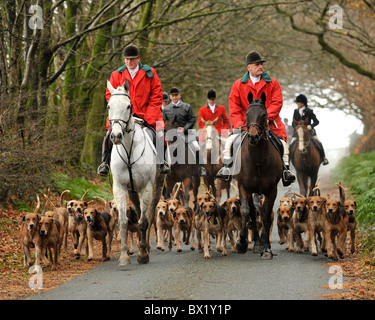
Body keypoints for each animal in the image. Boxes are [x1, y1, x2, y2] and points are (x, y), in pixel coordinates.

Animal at [106, 80, 164, 268]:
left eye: (128, 106)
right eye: (109, 106)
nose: (116, 136)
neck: (129, 151)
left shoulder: (146, 187)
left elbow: (145, 220)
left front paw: (143, 254)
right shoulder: (120, 188)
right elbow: (124, 222)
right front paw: (124, 256)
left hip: (156, 186)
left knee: (149, 214)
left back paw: (145, 247)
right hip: (132, 191)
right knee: (139, 212)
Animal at [236, 93, 284, 260]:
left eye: (264, 115)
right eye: (246, 114)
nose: (253, 137)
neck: (256, 159)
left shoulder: (271, 190)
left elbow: (266, 216)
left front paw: (267, 249)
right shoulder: (244, 187)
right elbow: (245, 211)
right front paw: (242, 243)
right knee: (251, 211)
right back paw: (256, 243)